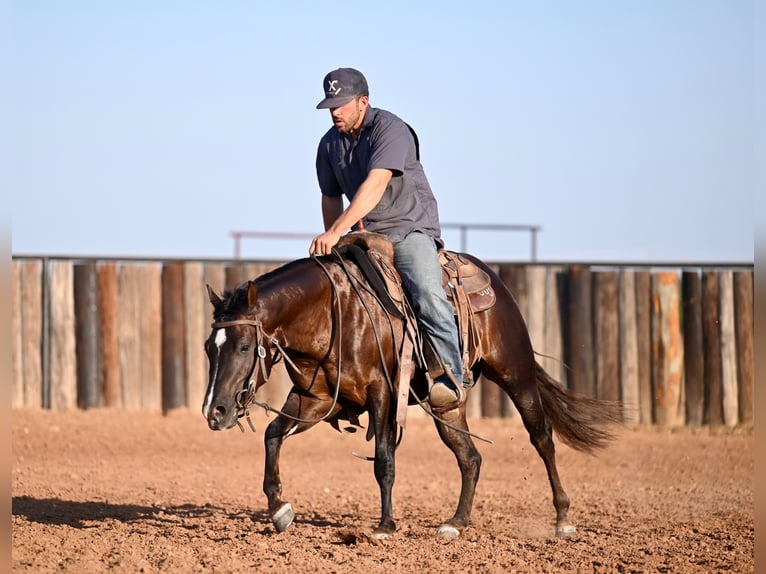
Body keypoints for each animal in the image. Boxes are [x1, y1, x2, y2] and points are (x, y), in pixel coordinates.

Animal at [204, 246, 624, 540]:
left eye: (244, 346)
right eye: (210, 346)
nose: (215, 411)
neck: (332, 311)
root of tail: (495, 283)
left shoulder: (382, 395)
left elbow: (383, 461)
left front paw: (385, 525)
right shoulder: (316, 399)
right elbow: (272, 435)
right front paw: (279, 509)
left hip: (516, 374)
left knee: (543, 439)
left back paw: (563, 519)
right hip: (449, 405)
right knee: (470, 457)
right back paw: (456, 522)